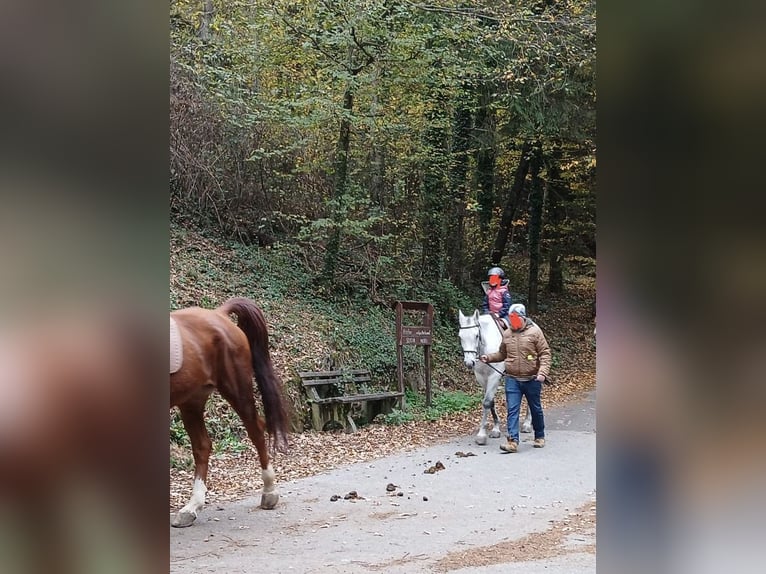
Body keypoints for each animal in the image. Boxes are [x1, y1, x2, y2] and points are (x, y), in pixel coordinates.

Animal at [170, 300, 290, 528]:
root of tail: (219, 313)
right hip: (191, 401)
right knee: (202, 446)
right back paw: (191, 508)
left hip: (236, 389)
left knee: (256, 430)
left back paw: (269, 492)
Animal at [460, 310, 532, 446]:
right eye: (460, 337)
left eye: (476, 335)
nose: (469, 362)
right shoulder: (482, 378)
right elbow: (491, 402)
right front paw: (496, 429)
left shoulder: (494, 376)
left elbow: (487, 402)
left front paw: (481, 435)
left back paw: (527, 424)